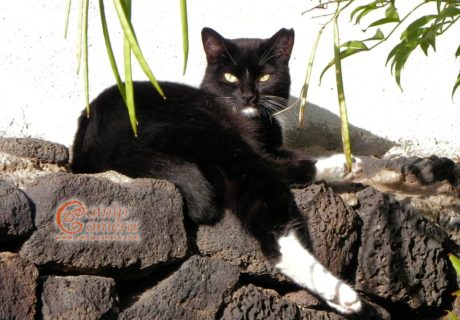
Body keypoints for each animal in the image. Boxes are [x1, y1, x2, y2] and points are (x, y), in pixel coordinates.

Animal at [71, 26, 362, 312]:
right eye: (230, 77)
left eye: (265, 76)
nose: (248, 95)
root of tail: (103, 143)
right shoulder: (257, 146)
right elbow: (290, 163)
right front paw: (344, 164)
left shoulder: (270, 146)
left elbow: (290, 156)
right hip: (215, 136)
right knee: (273, 215)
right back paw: (340, 293)